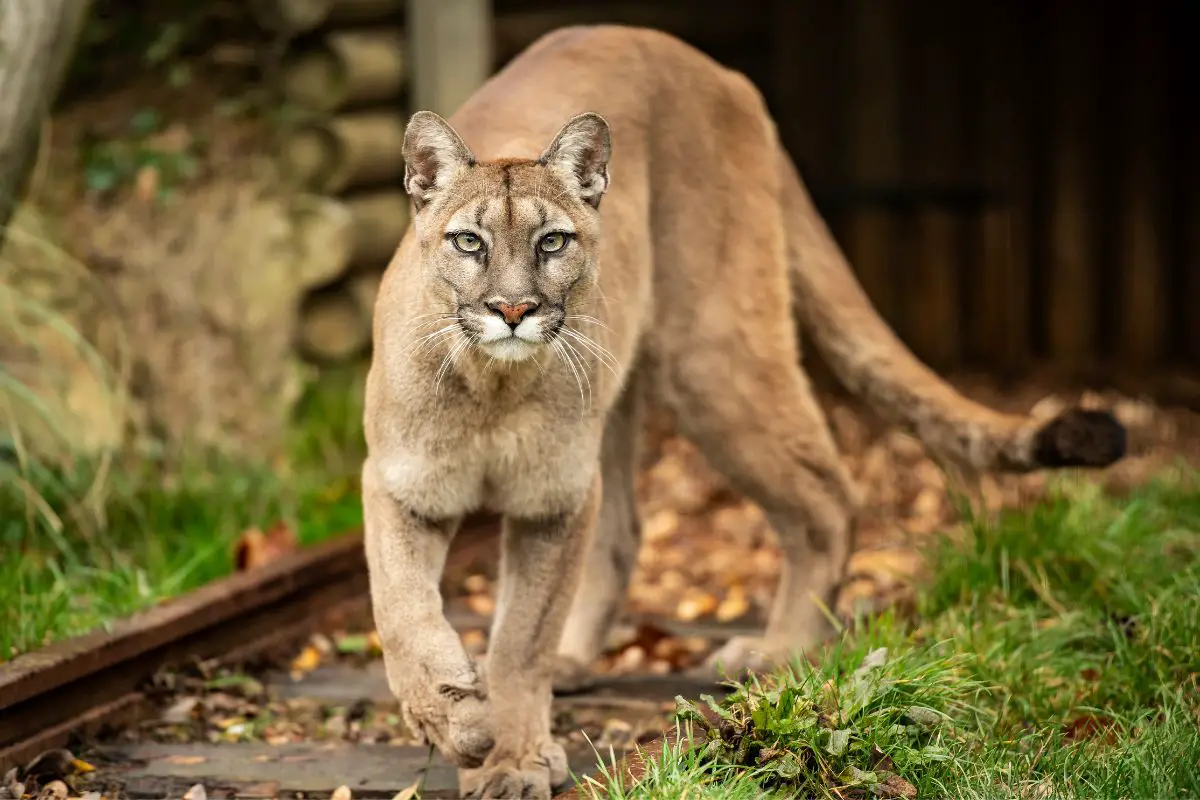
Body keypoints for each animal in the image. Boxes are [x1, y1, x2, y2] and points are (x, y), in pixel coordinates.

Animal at [360, 21, 1128, 796]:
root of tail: (708, 65)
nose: (513, 308)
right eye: (469, 241)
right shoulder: (400, 485)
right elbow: (402, 610)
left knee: (826, 498)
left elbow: (522, 637)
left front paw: (511, 754)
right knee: (626, 528)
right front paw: (455, 717)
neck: (493, 385)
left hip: (713, 361)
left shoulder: (553, 500)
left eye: (552, 242)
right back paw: (577, 662)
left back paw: (775, 652)